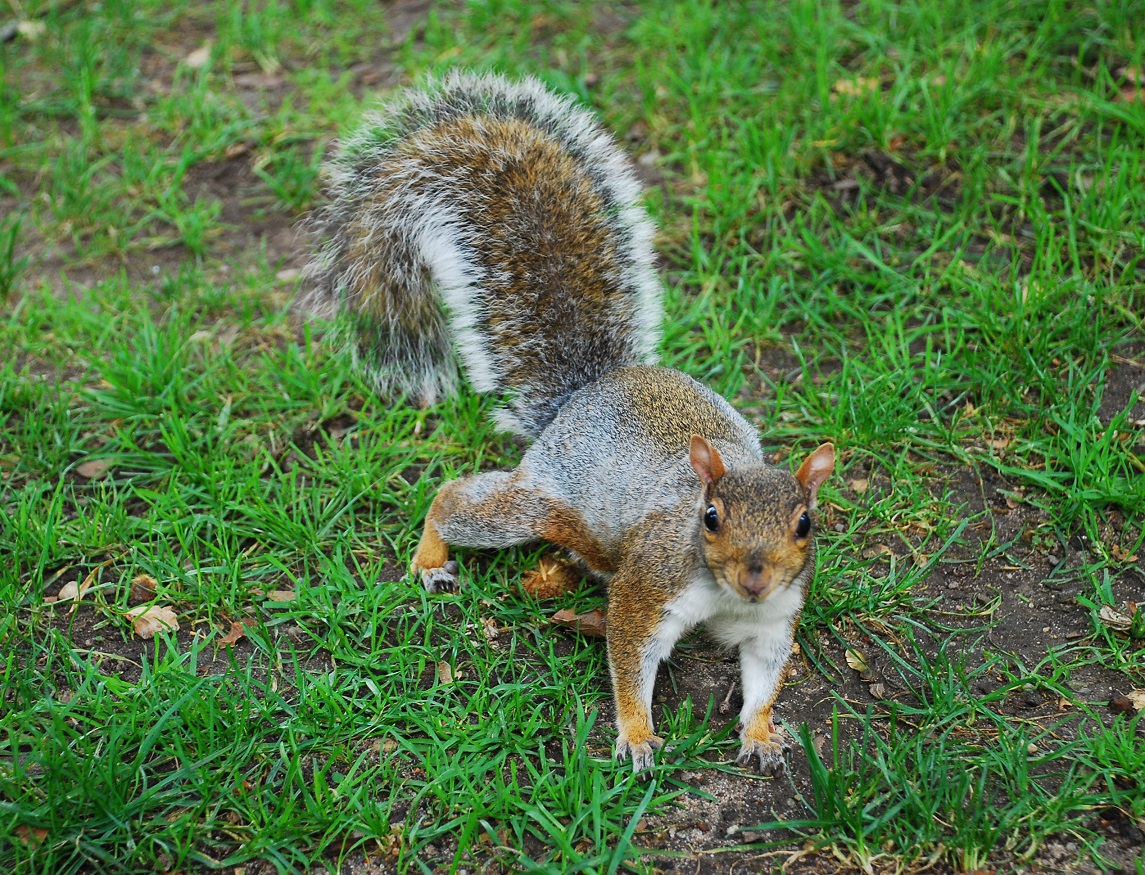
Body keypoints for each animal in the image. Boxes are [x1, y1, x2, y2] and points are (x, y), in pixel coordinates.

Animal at [302, 73, 842, 774]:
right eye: (710, 516)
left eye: (805, 523)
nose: (755, 575)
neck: (728, 594)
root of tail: (587, 391)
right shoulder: (649, 586)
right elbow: (629, 656)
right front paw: (637, 736)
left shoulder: (774, 618)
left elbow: (764, 676)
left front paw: (760, 733)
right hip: (538, 501)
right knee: (457, 499)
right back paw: (430, 556)